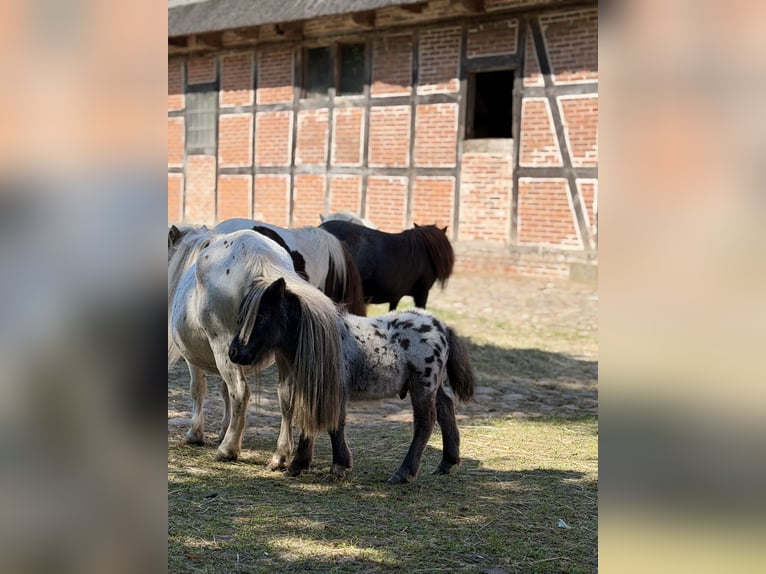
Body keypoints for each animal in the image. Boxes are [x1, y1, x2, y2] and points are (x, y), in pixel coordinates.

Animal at [228, 276, 475, 483]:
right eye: (241, 317)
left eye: (260, 317)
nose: (234, 353)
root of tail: (442, 327)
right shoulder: (311, 389)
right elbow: (310, 422)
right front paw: (299, 464)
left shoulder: (333, 391)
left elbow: (335, 425)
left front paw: (337, 465)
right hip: (433, 387)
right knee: (446, 410)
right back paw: (446, 463)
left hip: (422, 386)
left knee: (425, 423)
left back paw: (404, 472)